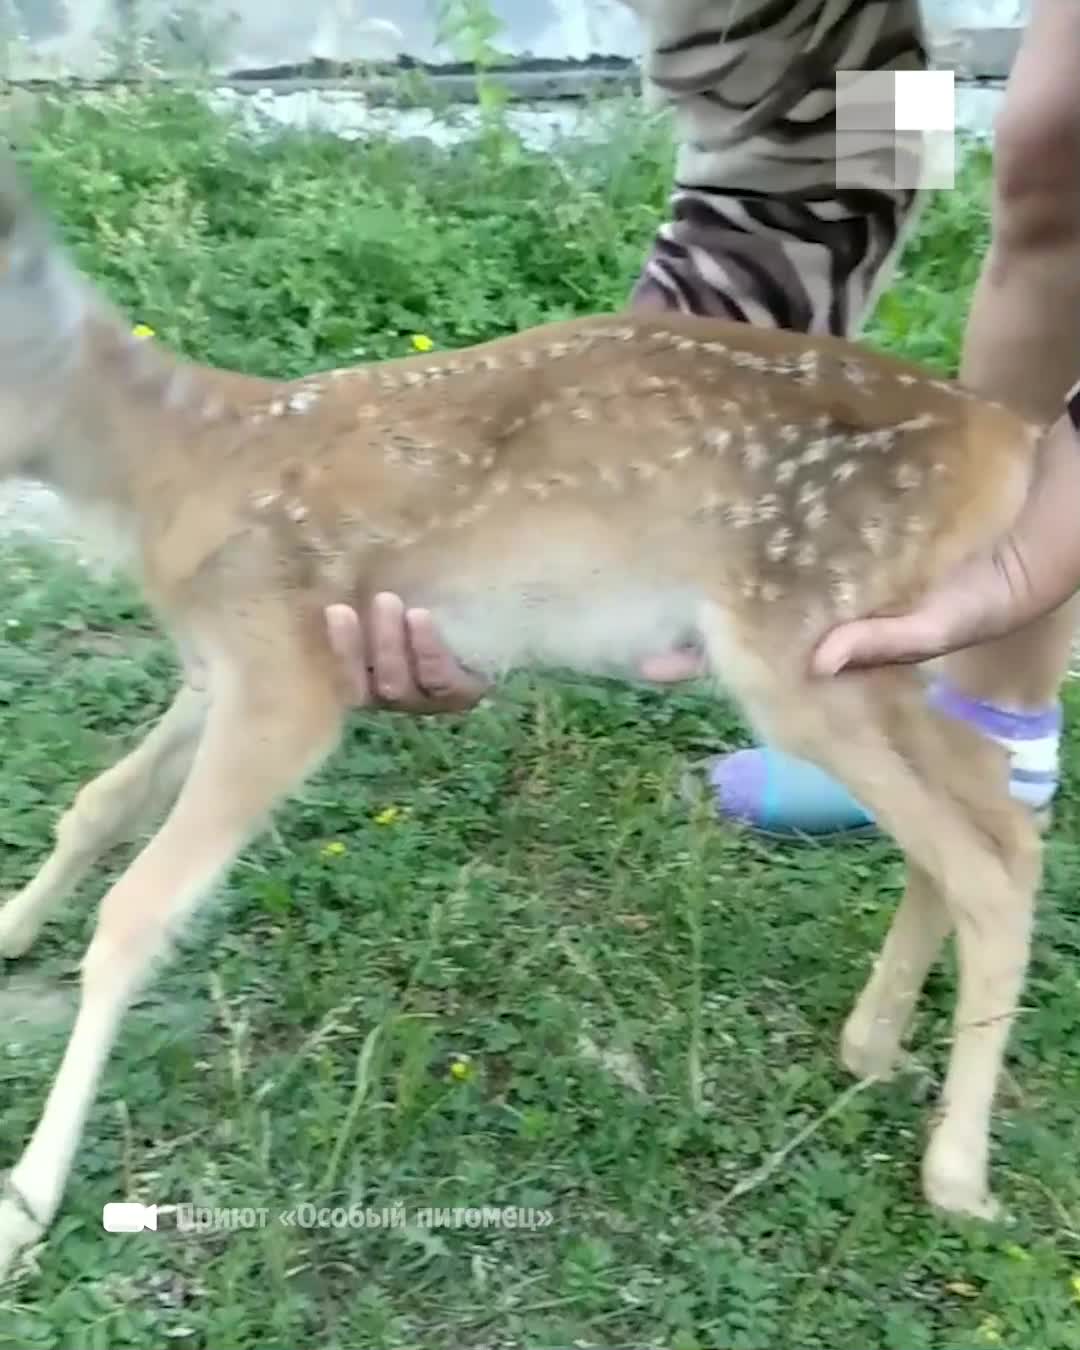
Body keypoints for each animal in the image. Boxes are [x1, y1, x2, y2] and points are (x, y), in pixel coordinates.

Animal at [0, 157, 1047, 1274]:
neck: (177, 466)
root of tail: (1010, 442)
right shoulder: (220, 669)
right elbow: (99, 800)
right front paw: (14, 929)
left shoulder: (289, 676)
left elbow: (137, 911)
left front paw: (28, 1198)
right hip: (888, 652)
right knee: (998, 824)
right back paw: (876, 1051)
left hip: (805, 652)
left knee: (979, 861)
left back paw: (956, 1176)